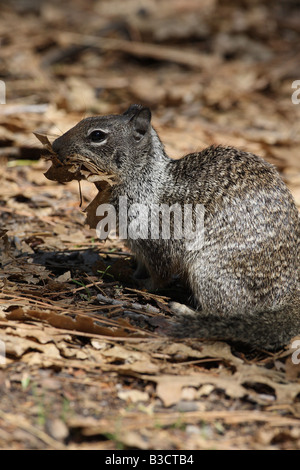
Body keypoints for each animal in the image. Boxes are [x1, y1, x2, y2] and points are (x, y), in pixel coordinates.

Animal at [52, 105, 300, 348]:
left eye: (97, 135)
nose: (55, 145)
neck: (145, 178)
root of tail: (289, 292)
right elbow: (141, 265)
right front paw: (127, 271)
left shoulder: (156, 240)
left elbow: (159, 275)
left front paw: (139, 284)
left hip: (209, 270)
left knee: (227, 311)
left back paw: (185, 311)